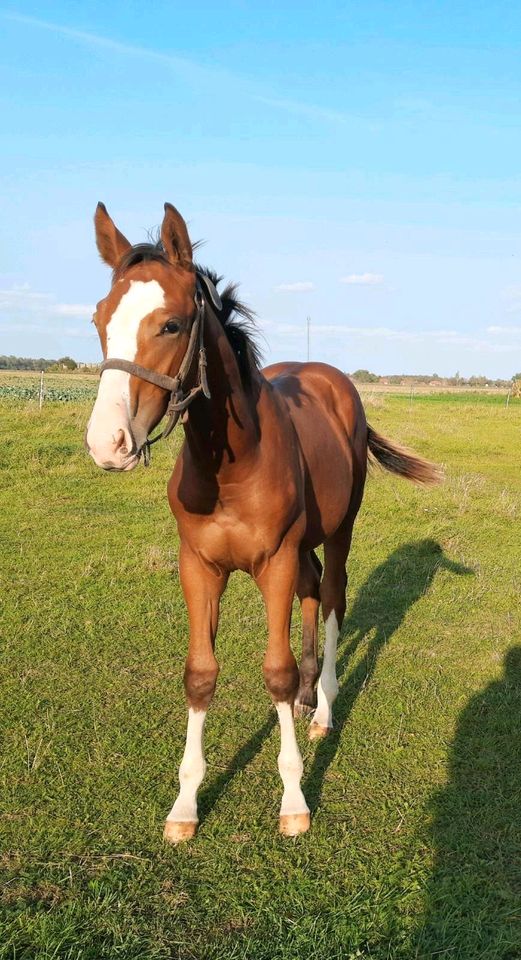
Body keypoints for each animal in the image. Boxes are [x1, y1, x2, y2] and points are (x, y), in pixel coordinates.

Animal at [86, 201, 438, 840]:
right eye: (100, 318)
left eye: (171, 325)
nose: (108, 444)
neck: (231, 465)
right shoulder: (199, 566)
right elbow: (200, 674)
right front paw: (185, 807)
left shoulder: (273, 561)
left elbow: (274, 669)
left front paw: (294, 800)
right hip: (302, 546)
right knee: (311, 589)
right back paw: (306, 696)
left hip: (340, 528)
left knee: (332, 593)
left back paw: (322, 706)